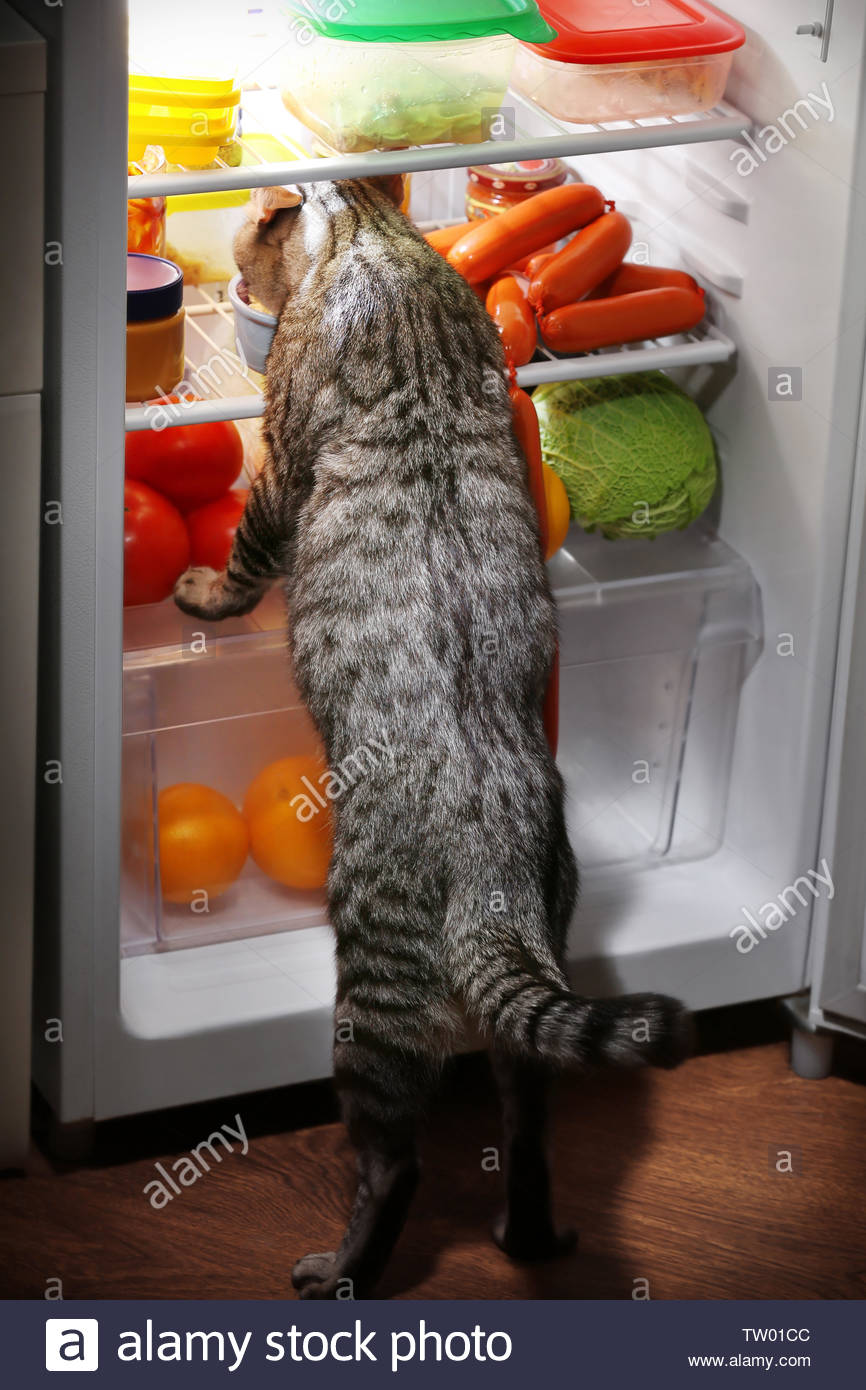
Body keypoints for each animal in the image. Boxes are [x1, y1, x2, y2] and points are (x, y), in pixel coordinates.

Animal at [174, 179, 692, 1295]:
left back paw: (339, 1270)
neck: (375, 237)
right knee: (531, 1131)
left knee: (395, 1164)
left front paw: (205, 592)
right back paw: (529, 1238)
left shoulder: (280, 462)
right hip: (536, 988)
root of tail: (495, 881)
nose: (244, 272)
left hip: (370, 1000)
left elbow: (245, 552)